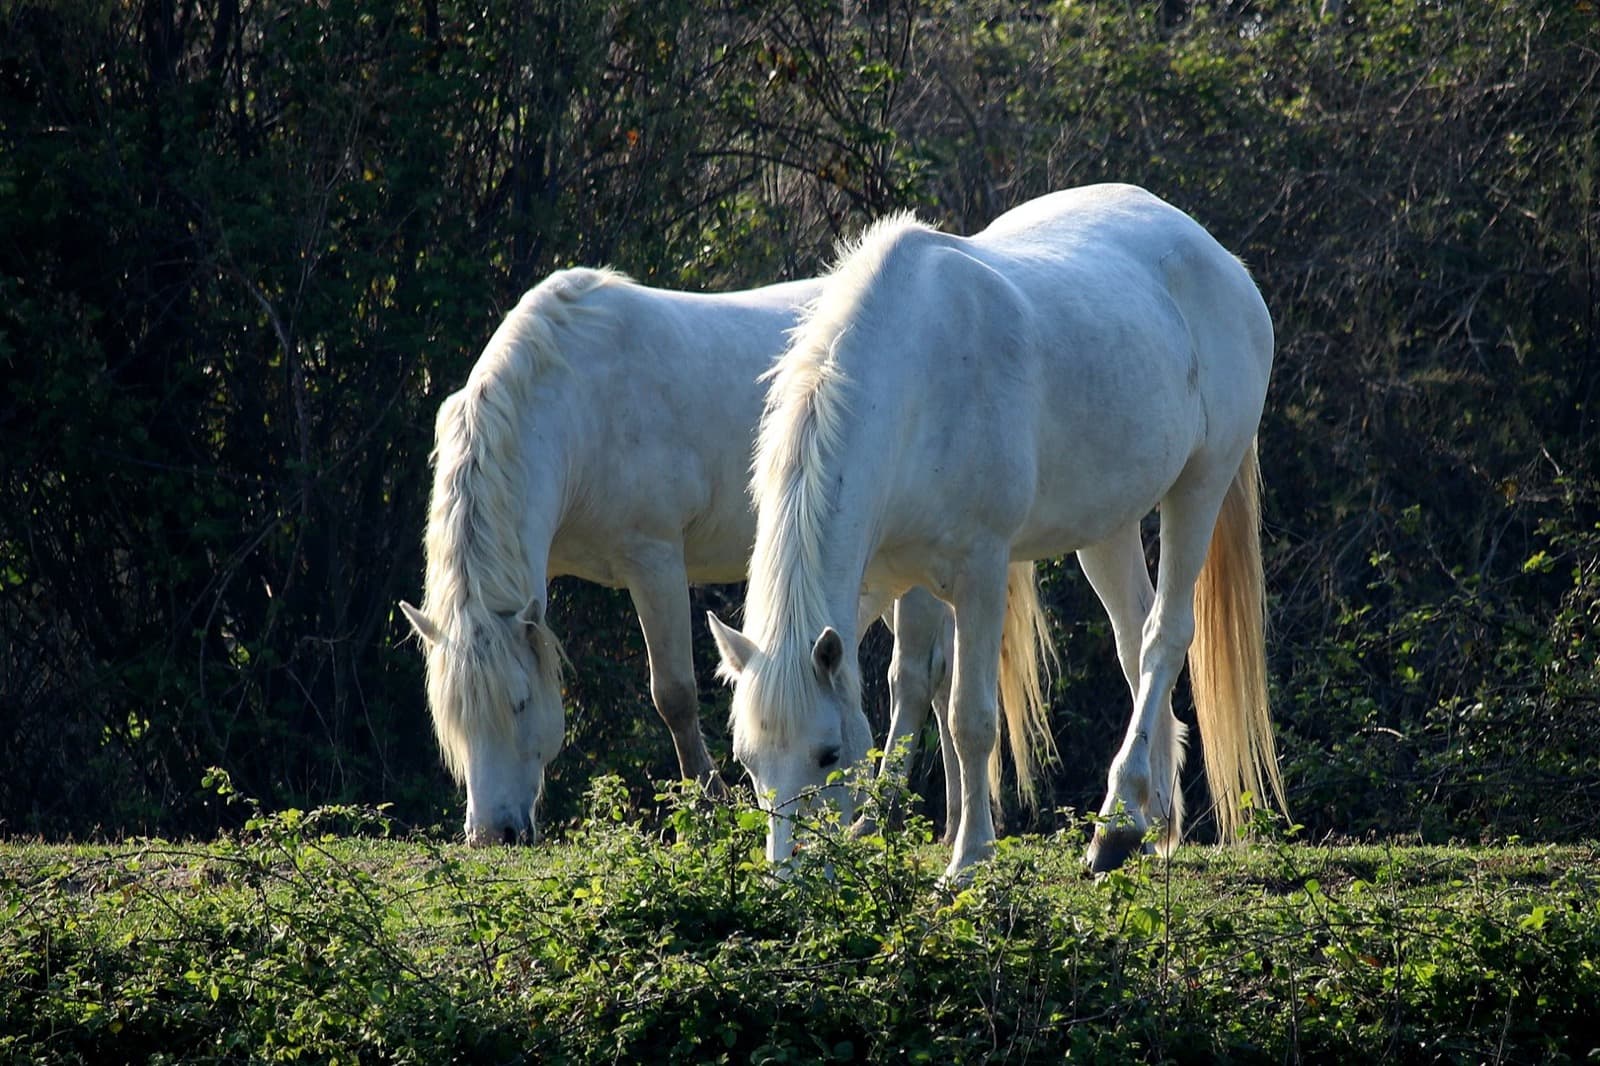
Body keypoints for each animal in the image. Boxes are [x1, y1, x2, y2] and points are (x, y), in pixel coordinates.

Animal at [400, 267, 972, 845]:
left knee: (915, 680)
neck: (576, 403)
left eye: (519, 703)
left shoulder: (654, 562)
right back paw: (952, 826)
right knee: (945, 679)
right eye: (451, 717)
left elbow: (673, 694)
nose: (493, 835)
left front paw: (710, 806)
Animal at [713, 184, 1286, 877]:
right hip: (1107, 528)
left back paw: (1116, 824)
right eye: (747, 761)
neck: (912, 379)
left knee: (1164, 636)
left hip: (1200, 485)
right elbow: (909, 680)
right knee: (1133, 640)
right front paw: (880, 825)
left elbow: (970, 718)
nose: (789, 878)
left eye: (826, 754)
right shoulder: (903, 576)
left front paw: (967, 859)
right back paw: (1149, 821)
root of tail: (1219, 259)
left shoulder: (981, 573)